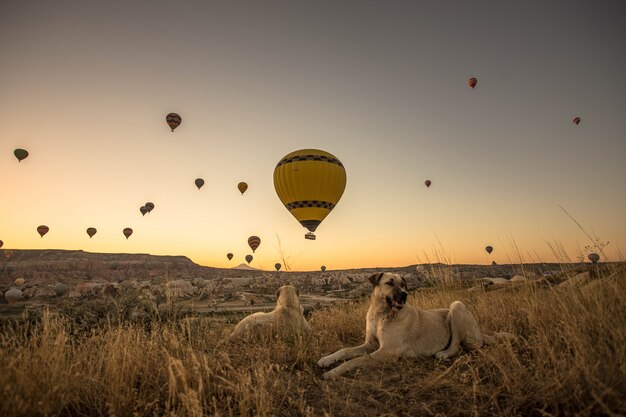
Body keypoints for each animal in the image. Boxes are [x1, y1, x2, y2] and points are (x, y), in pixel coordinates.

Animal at [316, 272, 488, 378]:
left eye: (403, 284)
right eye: (390, 283)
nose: (405, 295)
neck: (381, 314)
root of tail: (481, 333)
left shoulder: (387, 352)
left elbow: (355, 360)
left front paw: (333, 372)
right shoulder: (370, 344)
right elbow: (345, 350)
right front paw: (327, 359)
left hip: (456, 305)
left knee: (456, 345)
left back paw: (444, 353)